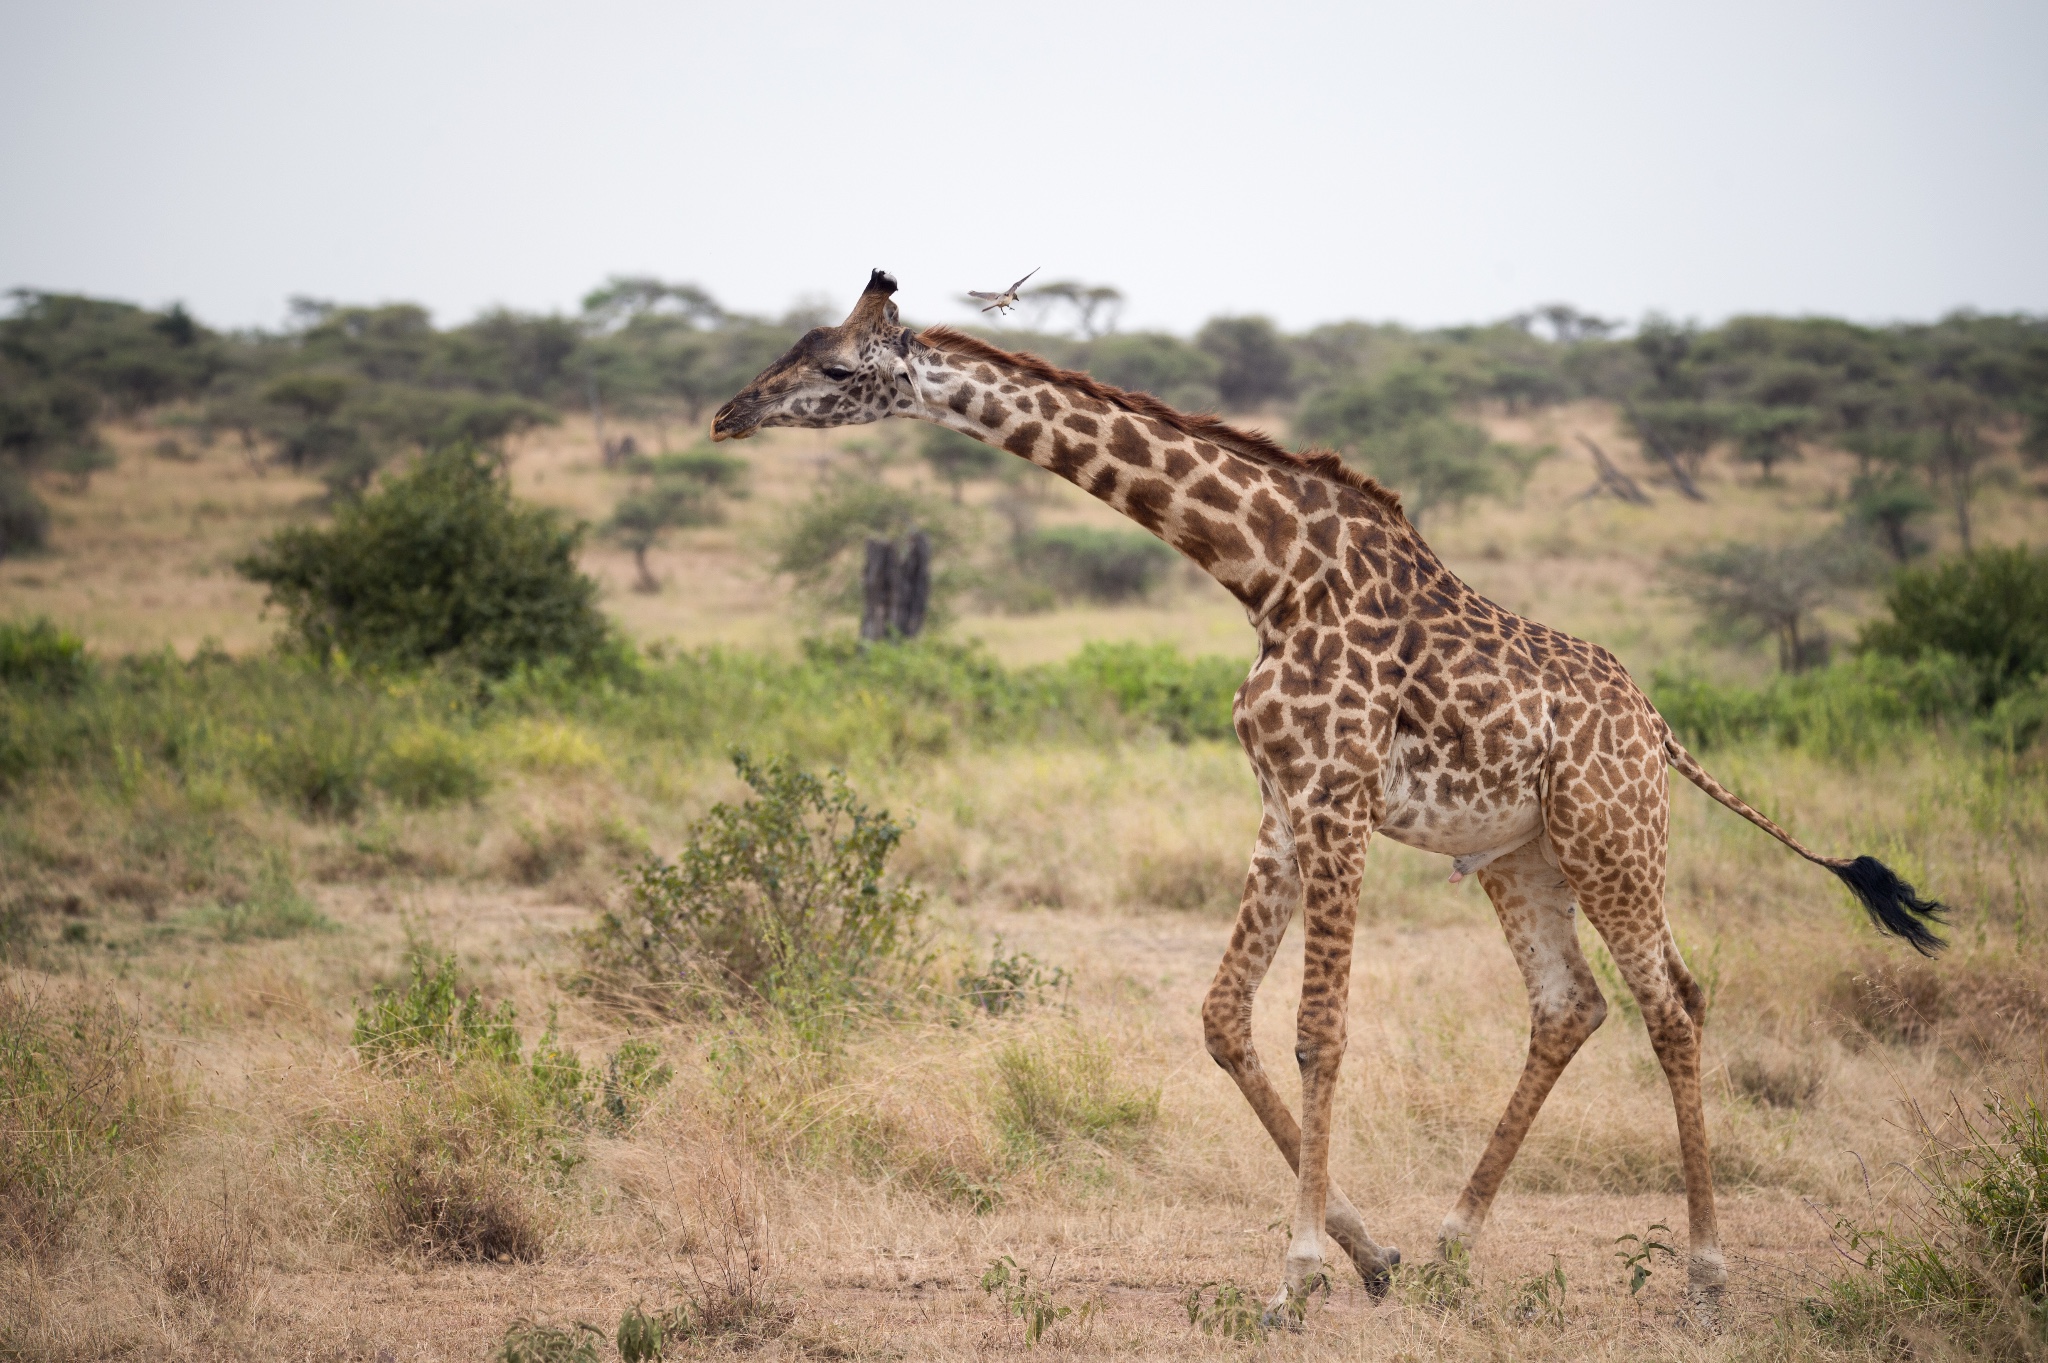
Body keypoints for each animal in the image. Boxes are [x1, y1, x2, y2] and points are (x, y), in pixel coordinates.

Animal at [712, 274, 1941, 1309]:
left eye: (836, 368)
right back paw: (1451, 1246)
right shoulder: (1281, 800)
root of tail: (1660, 727)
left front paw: (1295, 1274)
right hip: (1520, 854)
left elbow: (1319, 1030)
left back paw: (1703, 1272)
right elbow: (1222, 1018)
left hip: (1613, 837)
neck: (1267, 575)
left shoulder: (1338, 796)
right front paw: (1370, 1251)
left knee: (1673, 1000)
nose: (727, 415)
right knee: (1569, 1005)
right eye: (796, 346)